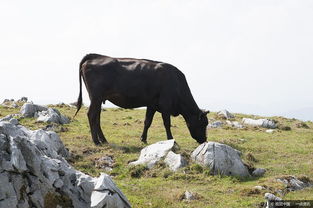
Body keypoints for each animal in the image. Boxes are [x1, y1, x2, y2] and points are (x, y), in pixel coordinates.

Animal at [74, 53, 208, 145]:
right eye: (203, 123)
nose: (204, 140)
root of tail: (95, 56)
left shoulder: (152, 105)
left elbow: (147, 122)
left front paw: (143, 139)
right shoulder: (165, 105)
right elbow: (167, 123)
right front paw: (171, 140)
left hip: (98, 99)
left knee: (97, 117)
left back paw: (103, 140)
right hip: (96, 97)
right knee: (92, 115)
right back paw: (96, 141)